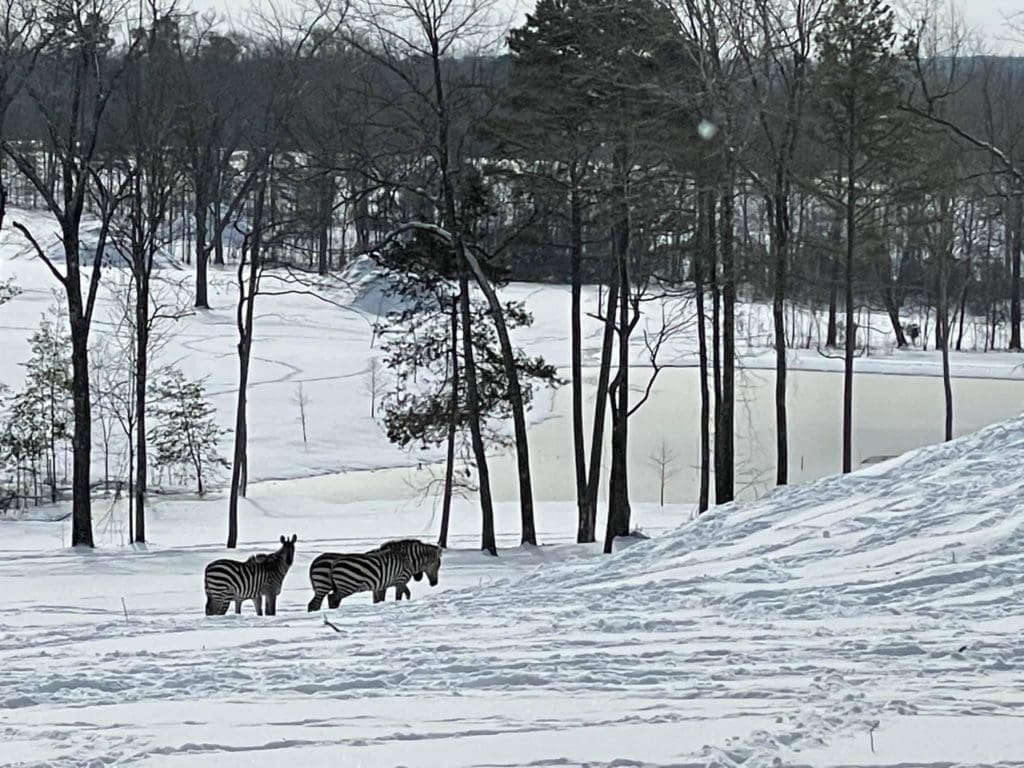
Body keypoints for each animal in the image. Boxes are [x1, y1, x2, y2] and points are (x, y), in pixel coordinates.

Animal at [306, 538, 442, 611]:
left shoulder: (381, 585)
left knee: (316, 603)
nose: (434, 584)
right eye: (438, 565)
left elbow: (380, 600)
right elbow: (401, 596)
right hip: (345, 586)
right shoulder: (400, 580)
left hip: (326, 586)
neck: (406, 559)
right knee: (330, 599)